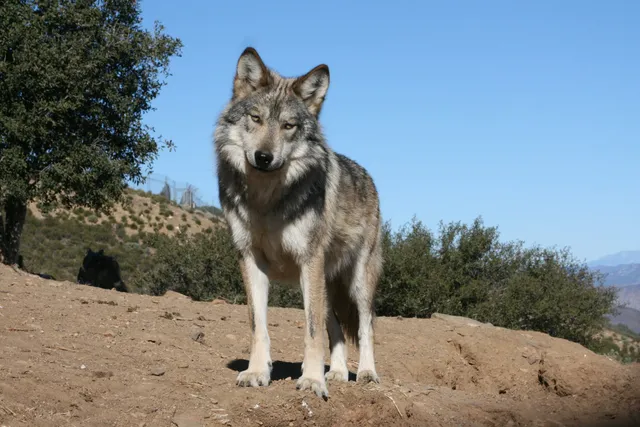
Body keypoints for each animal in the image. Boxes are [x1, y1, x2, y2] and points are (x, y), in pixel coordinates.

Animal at [213, 47, 383, 399]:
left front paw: (313, 380)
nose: (263, 157)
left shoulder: (309, 260)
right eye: (256, 118)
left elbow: (312, 330)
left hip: (357, 282)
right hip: (324, 285)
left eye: (289, 125)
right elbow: (258, 325)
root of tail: (367, 176)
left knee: (366, 326)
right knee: (337, 331)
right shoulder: (250, 259)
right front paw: (257, 372)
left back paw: (366, 374)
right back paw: (339, 373)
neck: (266, 202)